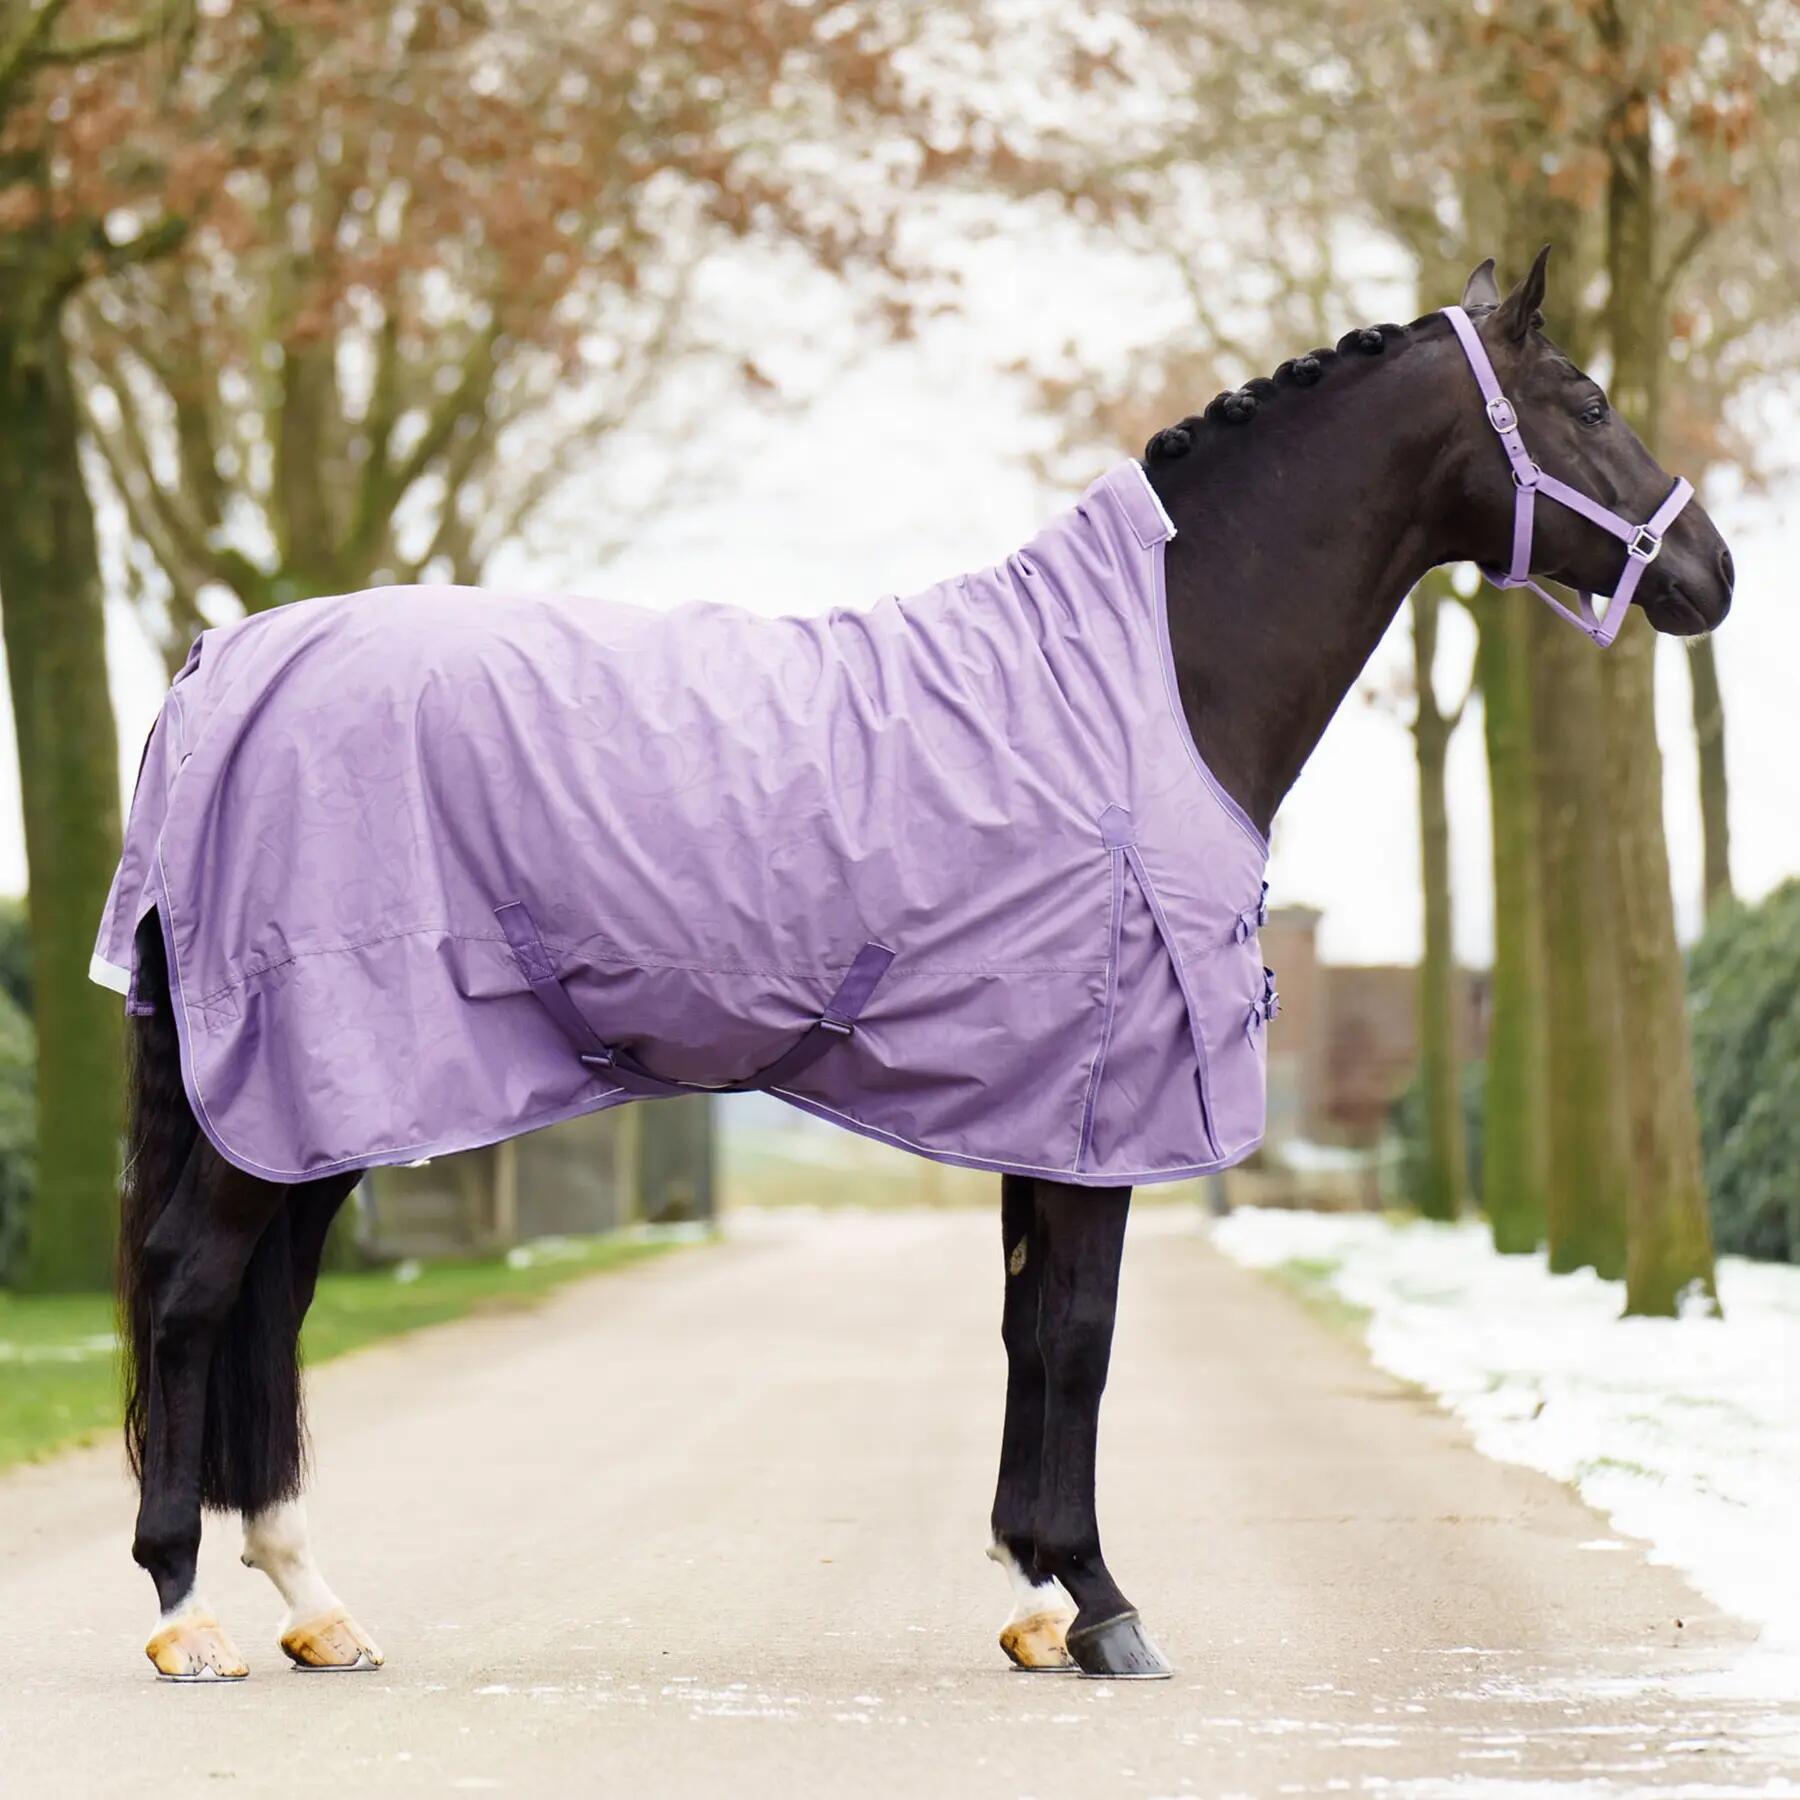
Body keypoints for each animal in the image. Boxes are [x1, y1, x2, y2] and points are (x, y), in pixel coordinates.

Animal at [101, 251, 1733, 1682]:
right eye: (1589, 399)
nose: (1712, 574)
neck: (1149, 689)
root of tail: (215, 671)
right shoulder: (1104, 1113)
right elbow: (1079, 1339)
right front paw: (1103, 1609)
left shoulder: (1045, 1109)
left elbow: (1029, 1335)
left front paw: (1034, 1604)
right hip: (295, 1079)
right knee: (192, 1287)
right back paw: (185, 1613)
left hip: (318, 1103)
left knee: (268, 1308)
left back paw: (318, 1607)